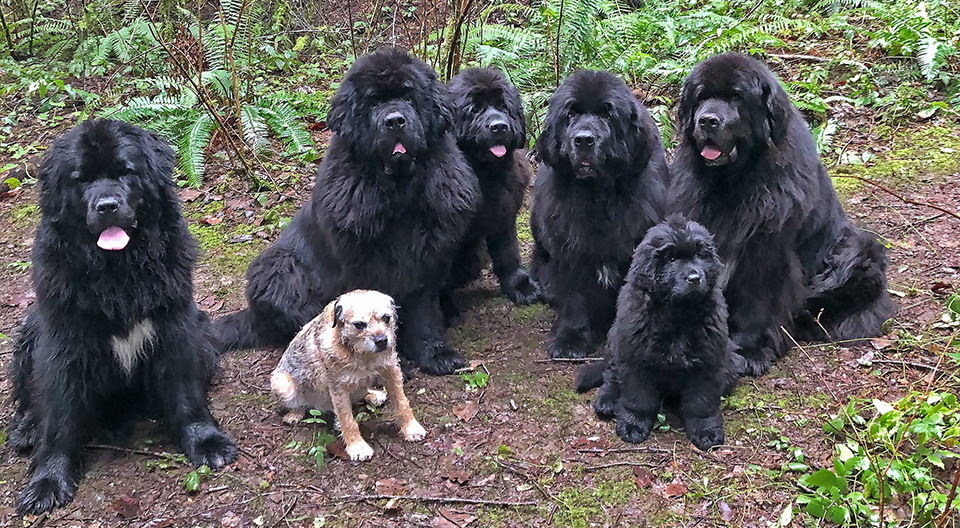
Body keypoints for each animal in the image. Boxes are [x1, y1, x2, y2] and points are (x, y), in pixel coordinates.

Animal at [10, 119, 239, 516]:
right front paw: (48, 480)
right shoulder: (62, 343)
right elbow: (57, 415)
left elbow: (186, 392)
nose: (107, 205)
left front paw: (206, 441)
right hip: (29, 332)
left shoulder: (176, 327)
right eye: (82, 179)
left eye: (126, 172)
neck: (118, 271)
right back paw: (26, 429)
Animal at [212, 47, 478, 374]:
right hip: (278, 267)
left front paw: (434, 352)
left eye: (409, 96)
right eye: (373, 101)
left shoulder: (426, 257)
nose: (395, 120)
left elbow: (424, 311)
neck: (398, 190)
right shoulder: (363, 261)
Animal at [268, 290, 422, 460]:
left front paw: (411, 427)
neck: (363, 355)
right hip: (282, 383)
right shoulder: (338, 389)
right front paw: (357, 446)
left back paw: (373, 395)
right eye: (359, 324)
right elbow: (347, 420)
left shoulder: (391, 371)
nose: (381, 340)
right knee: (299, 404)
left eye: (386, 318)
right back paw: (294, 414)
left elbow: (402, 402)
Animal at [572, 214, 740, 450]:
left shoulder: (709, 360)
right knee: (611, 375)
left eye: (699, 255)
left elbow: (701, 403)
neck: (678, 313)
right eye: (671, 259)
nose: (694, 278)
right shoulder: (636, 358)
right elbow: (638, 399)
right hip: (615, 342)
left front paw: (706, 431)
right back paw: (608, 401)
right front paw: (633, 425)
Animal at [672, 52, 888, 376]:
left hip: (855, 251)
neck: (733, 184)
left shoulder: (767, 251)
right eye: (701, 97)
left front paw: (751, 349)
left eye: (736, 98)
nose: (707, 120)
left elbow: (759, 300)